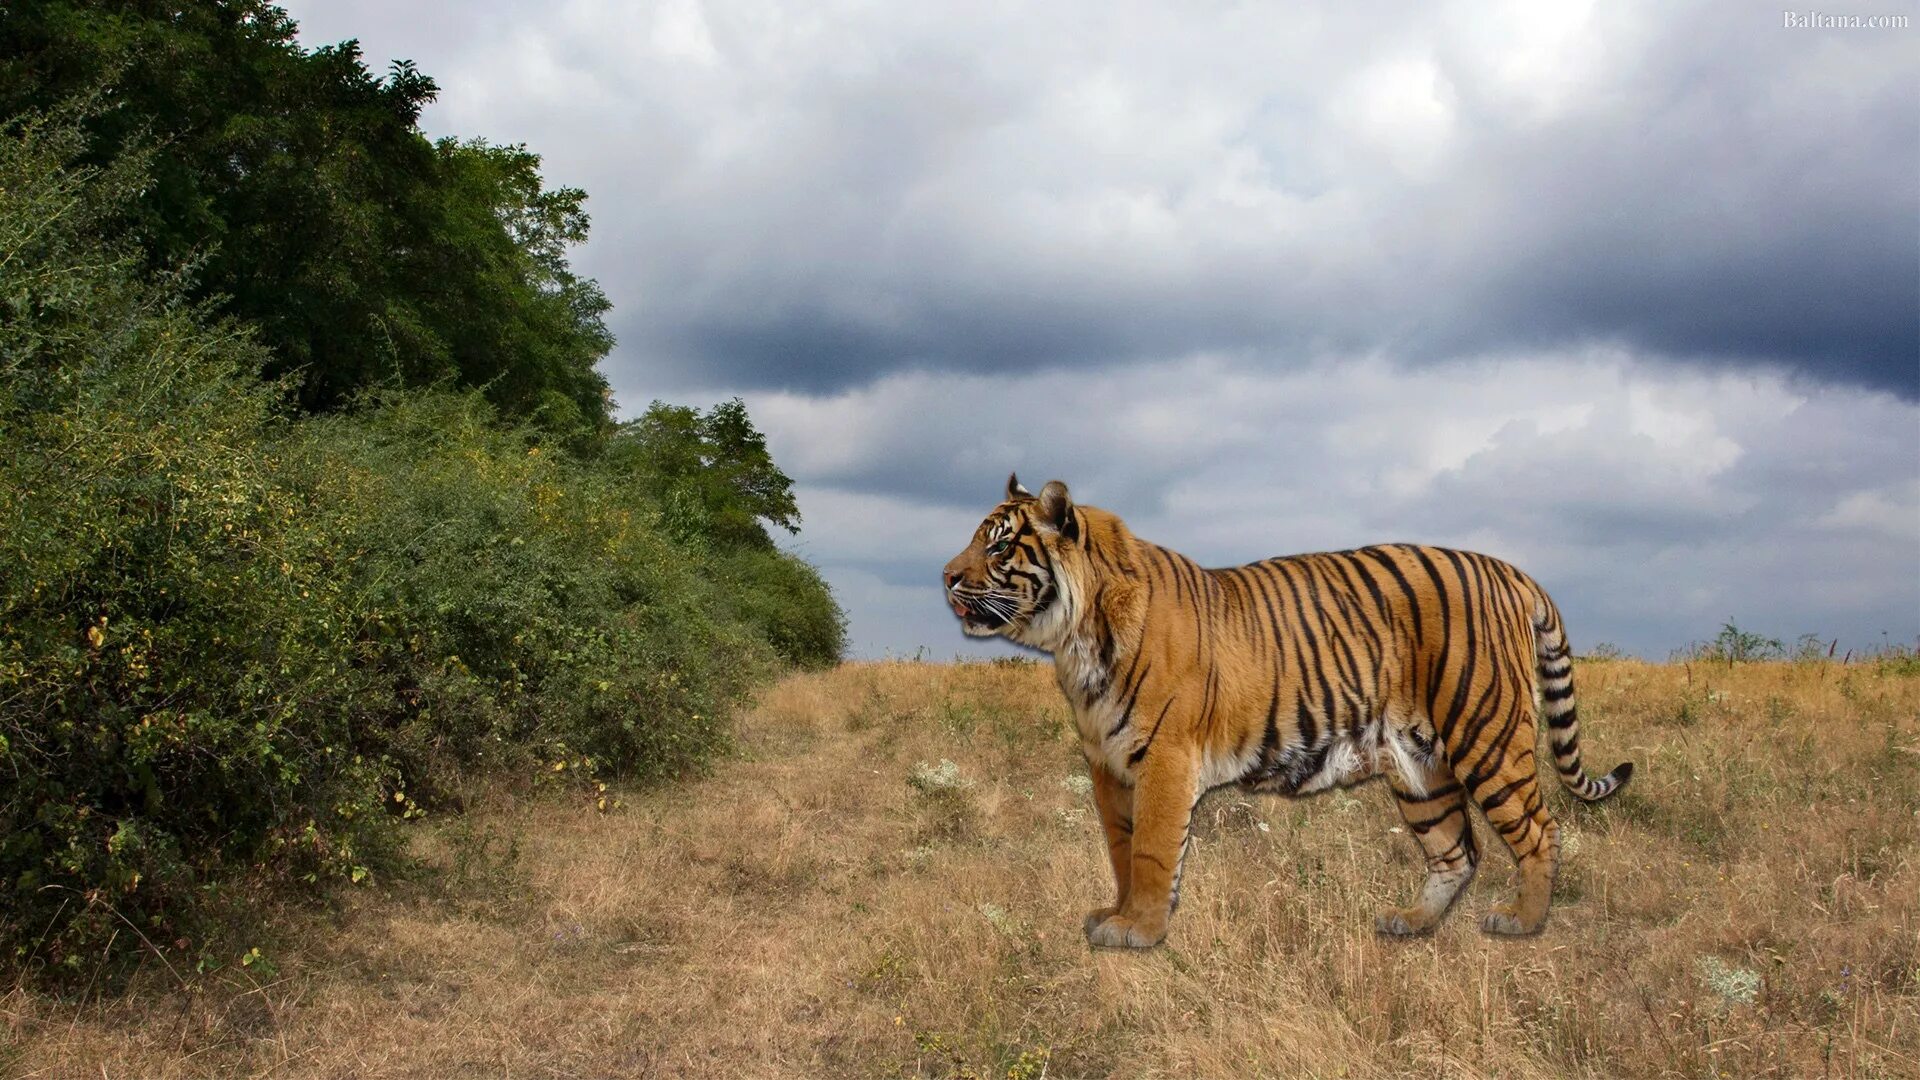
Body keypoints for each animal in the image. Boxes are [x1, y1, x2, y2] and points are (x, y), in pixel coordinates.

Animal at [941, 475, 1632, 948]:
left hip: (1485, 734)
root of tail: (1512, 571)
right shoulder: (1107, 765)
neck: (1075, 639)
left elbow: (1153, 850)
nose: (945, 577)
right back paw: (1410, 922)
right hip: (1418, 768)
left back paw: (1521, 921)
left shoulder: (1164, 757)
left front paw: (1137, 931)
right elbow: (1121, 847)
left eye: (998, 548)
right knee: (1455, 851)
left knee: (1540, 831)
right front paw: (1116, 913)